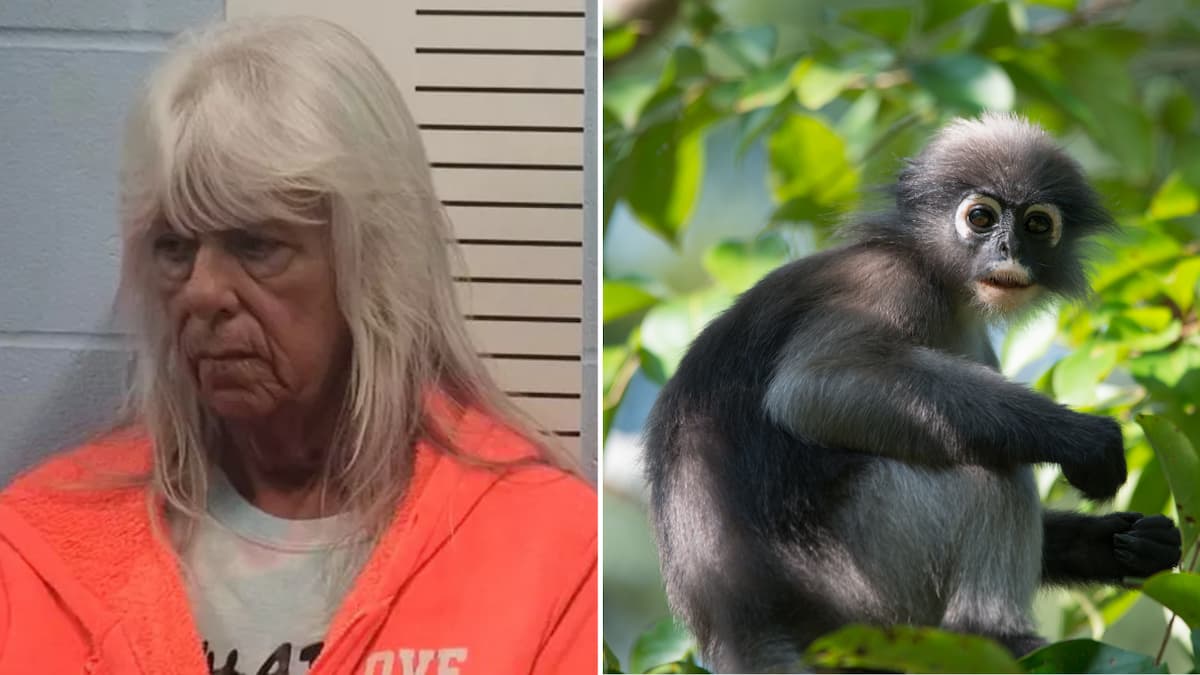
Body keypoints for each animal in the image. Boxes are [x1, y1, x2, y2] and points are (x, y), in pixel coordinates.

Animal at [642, 113, 1182, 673]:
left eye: (1037, 225)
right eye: (981, 218)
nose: (1008, 251)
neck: (939, 278)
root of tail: (748, 624)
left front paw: (1125, 543)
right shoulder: (883, 282)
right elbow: (811, 387)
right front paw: (1082, 438)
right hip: (863, 581)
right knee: (994, 473)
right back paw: (995, 637)